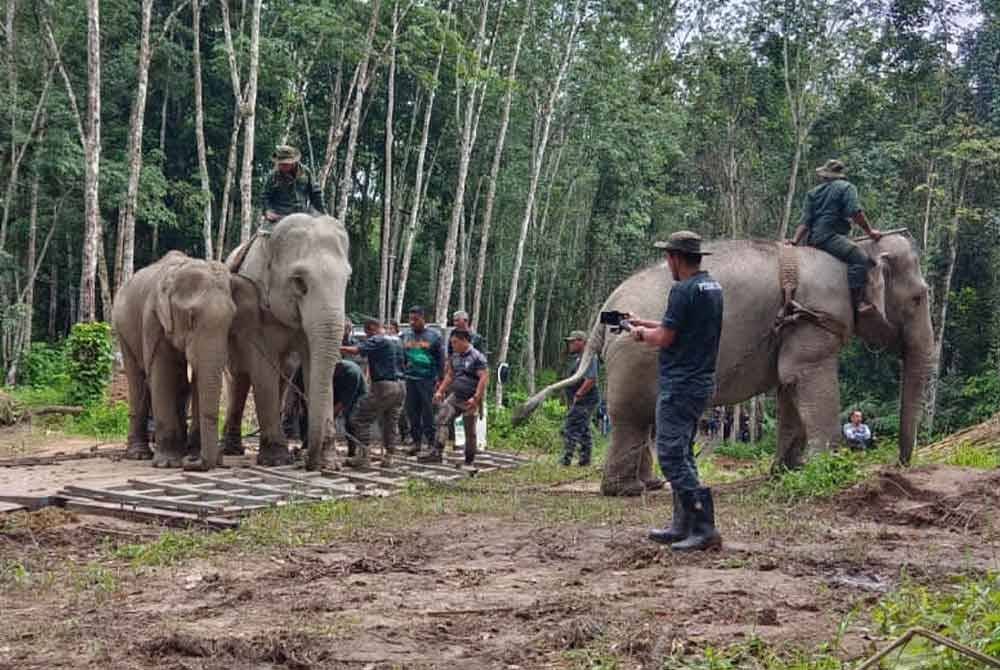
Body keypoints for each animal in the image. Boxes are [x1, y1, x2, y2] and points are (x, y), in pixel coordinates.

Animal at [112, 249, 260, 470]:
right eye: (191, 317)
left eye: (231, 320)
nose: (193, 461)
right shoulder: (153, 320)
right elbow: (162, 374)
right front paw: (167, 463)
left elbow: (196, 380)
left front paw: (190, 455)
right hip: (122, 330)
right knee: (137, 380)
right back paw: (139, 454)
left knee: (180, 385)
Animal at [223, 215, 352, 472]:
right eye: (299, 282)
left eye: (347, 280)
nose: (308, 462)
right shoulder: (258, 308)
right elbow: (263, 367)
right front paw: (277, 459)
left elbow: (313, 362)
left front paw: (330, 463)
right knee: (238, 377)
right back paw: (231, 449)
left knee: (284, 372)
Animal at [516, 234, 936, 496]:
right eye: (919, 298)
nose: (899, 466)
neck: (856, 248)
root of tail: (605, 311)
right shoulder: (814, 316)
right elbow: (806, 376)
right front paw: (826, 469)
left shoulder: (796, 326)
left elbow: (788, 385)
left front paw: (787, 472)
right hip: (636, 355)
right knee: (633, 417)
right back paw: (628, 491)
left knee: (646, 418)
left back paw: (649, 485)